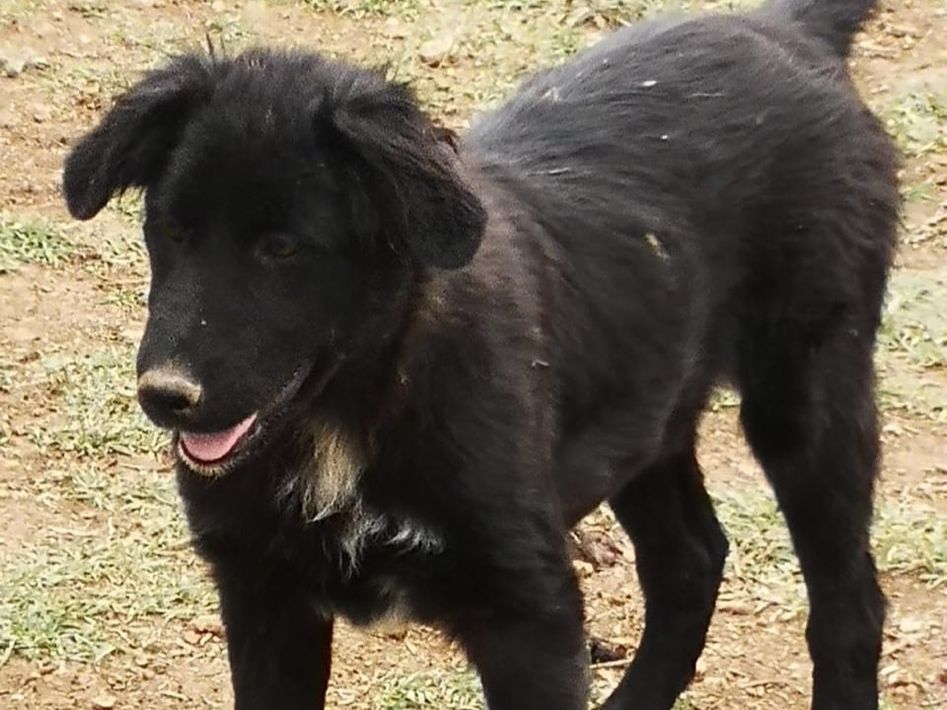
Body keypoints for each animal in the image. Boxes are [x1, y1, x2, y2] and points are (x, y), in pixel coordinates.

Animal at [63, 0, 898, 707]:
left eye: (283, 248)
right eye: (170, 231)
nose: (166, 396)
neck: (354, 406)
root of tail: (787, 26)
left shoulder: (525, 614)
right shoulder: (263, 593)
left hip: (808, 389)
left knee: (847, 603)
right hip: (647, 408)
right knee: (690, 561)